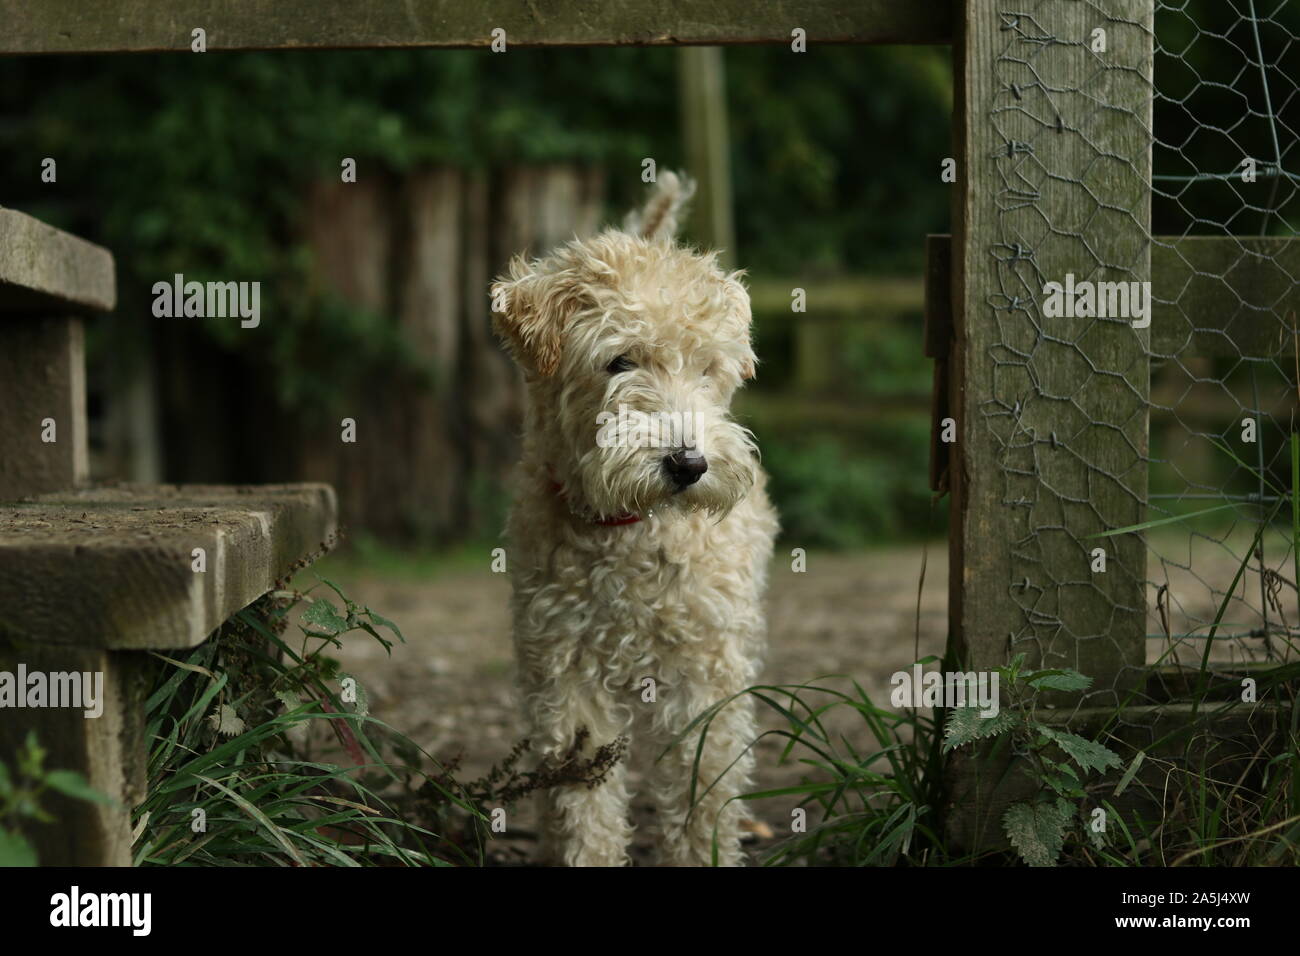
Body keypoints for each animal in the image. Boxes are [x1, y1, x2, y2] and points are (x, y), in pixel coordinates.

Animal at [488, 174, 769, 868]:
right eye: (619, 361)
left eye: (707, 366)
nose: (688, 463)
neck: (629, 531)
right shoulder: (565, 674)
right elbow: (582, 807)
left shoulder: (703, 676)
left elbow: (703, 800)